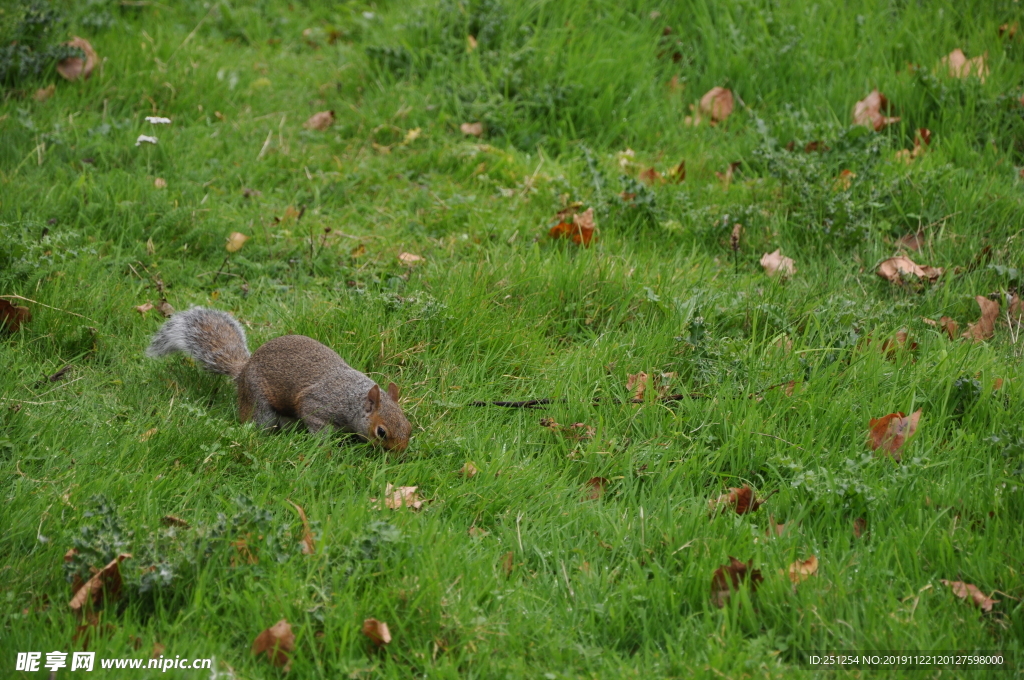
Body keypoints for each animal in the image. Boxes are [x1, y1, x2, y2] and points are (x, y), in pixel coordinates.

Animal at [143, 307, 411, 450]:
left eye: (408, 427)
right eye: (381, 432)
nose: (399, 455)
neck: (352, 398)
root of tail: (243, 371)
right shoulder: (317, 404)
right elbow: (318, 424)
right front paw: (326, 445)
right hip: (259, 403)